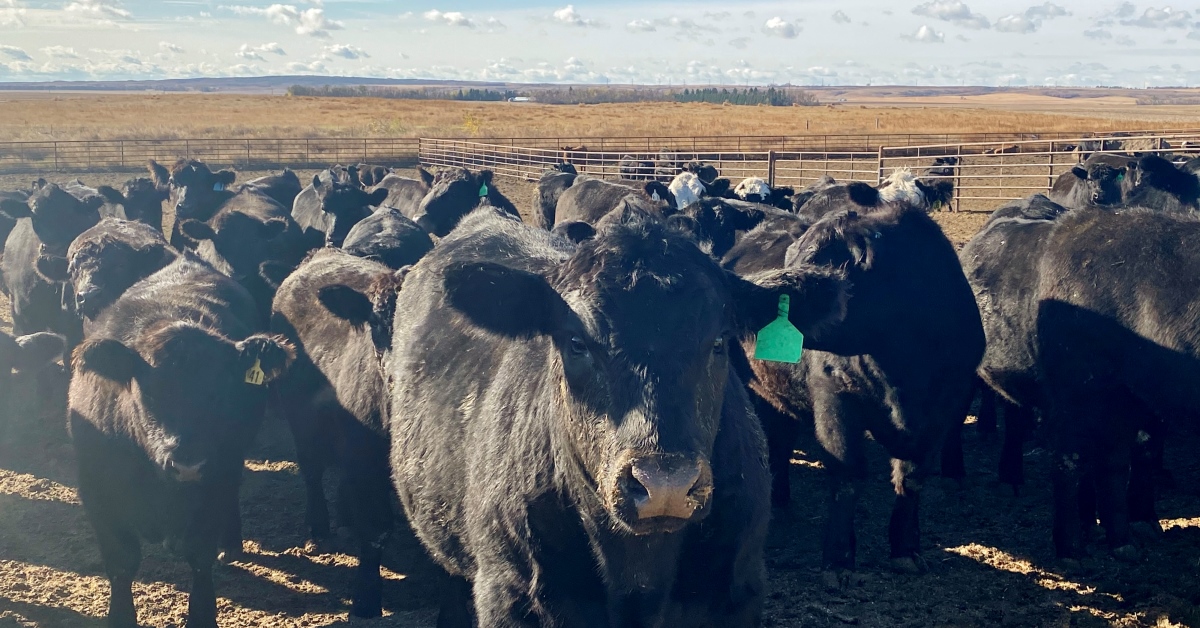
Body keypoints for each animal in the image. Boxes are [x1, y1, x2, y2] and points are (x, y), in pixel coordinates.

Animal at [70, 254, 295, 628]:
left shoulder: (215, 483)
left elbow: (200, 555)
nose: (187, 465)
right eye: (147, 391)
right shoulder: (96, 491)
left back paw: (231, 544)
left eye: (221, 392)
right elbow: (121, 562)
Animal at [270, 247, 405, 619]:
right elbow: (375, 528)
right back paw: (318, 525)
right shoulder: (364, 459)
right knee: (312, 470)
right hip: (299, 419)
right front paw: (366, 597)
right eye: (377, 325)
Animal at [388, 208, 849, 624]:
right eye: (576, 342)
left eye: (719, 341)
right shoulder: (510, 592)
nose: (665, 485)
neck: (639, 577)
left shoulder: (739, 590)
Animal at [720, 193, 984, 581]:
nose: (763, 293)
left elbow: (912, 479)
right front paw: (838, 558)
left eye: (820, 273)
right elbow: (848, 476)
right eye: (792, 258)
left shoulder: (943, 413)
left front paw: (906, 549)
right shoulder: (836, 402)